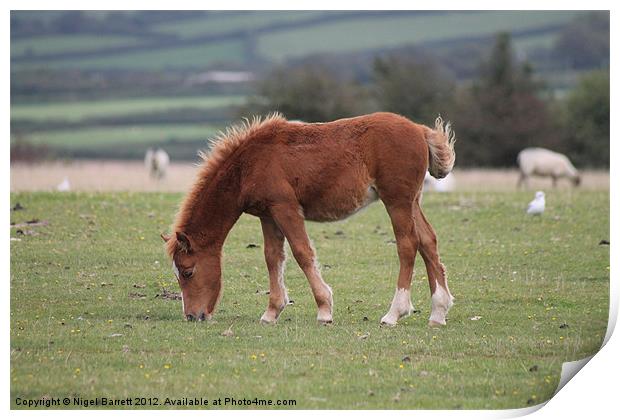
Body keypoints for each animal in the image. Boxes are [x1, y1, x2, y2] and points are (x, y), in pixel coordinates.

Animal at [162, 112, 456, 328]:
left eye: (187, 272)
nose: (193, 316)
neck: (249, 166)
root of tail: (420, 130)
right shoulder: (268, 215)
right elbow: (272, 258)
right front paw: (272, 312)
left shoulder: (286, 208)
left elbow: (302, 253)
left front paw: (324, 309)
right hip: (412, 201)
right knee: (428, 241)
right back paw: (438, 313)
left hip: (396, 201)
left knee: (408, 244)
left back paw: (394, 313)